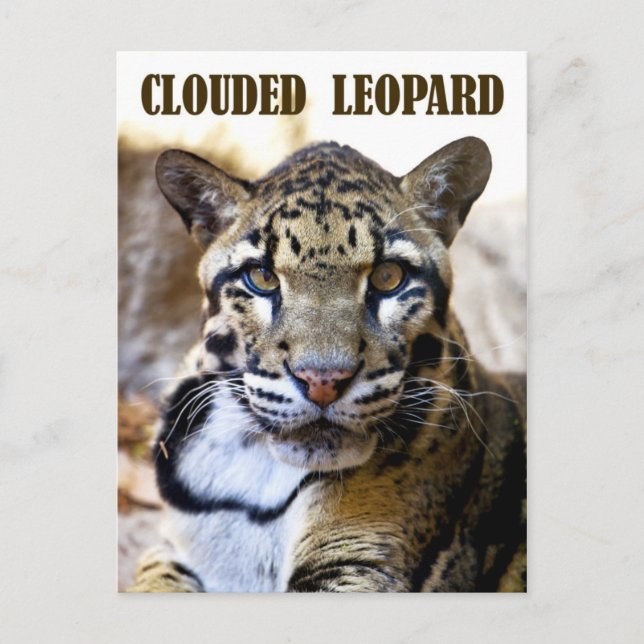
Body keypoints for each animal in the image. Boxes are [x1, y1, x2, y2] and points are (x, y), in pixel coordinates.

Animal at [129, 137, 526, 592]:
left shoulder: (359, 566)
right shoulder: (168, 549)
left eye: (389, 277)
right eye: (261, 277)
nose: (322, 380)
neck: (256, 475)